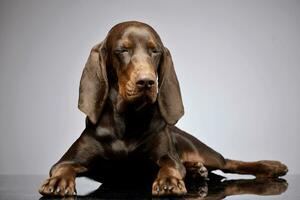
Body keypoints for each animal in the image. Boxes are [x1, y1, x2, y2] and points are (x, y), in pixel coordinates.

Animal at [38, 20, 288, 197]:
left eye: (154, 50)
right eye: (122, 50)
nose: (147, 82)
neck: (127, 120)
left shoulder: (166, 154)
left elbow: (170, 165)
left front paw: (168, 181)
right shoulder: (68, 160)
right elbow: (62, 169)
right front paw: (58, 182)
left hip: (201, 150)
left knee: (229, 163)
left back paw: (272, 166)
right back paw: (196, 171)